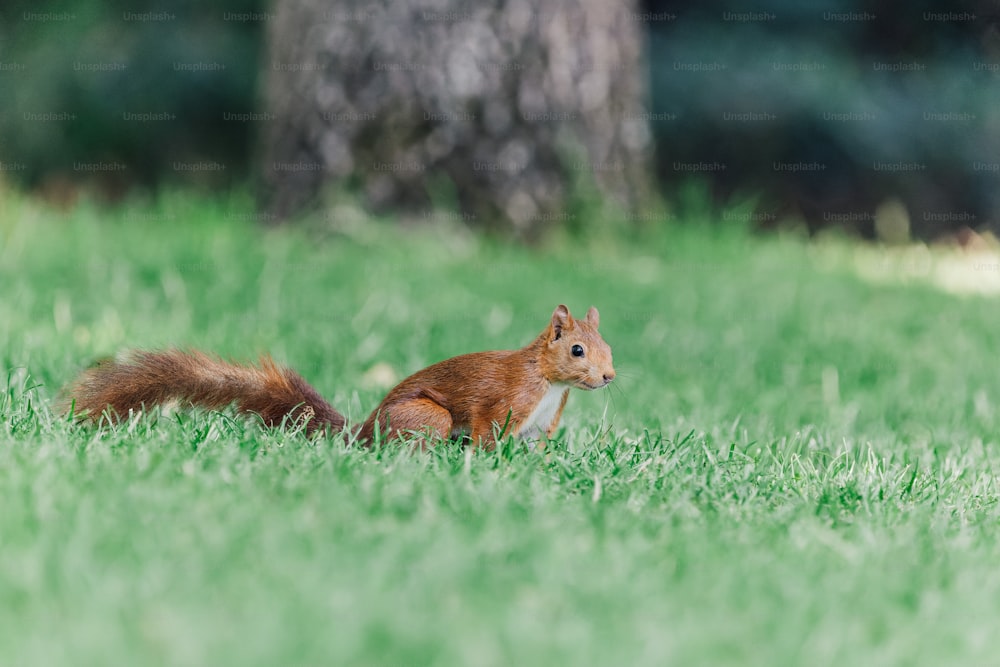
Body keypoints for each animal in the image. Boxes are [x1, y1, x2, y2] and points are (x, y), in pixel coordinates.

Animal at [66, 306, 612, 446]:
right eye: (577, 350)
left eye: (609, 348)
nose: (608, 377)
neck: (548, 383)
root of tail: (362, 432)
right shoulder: (503, 403)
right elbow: (484, 433)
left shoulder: (541, 423)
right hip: (427, 418)